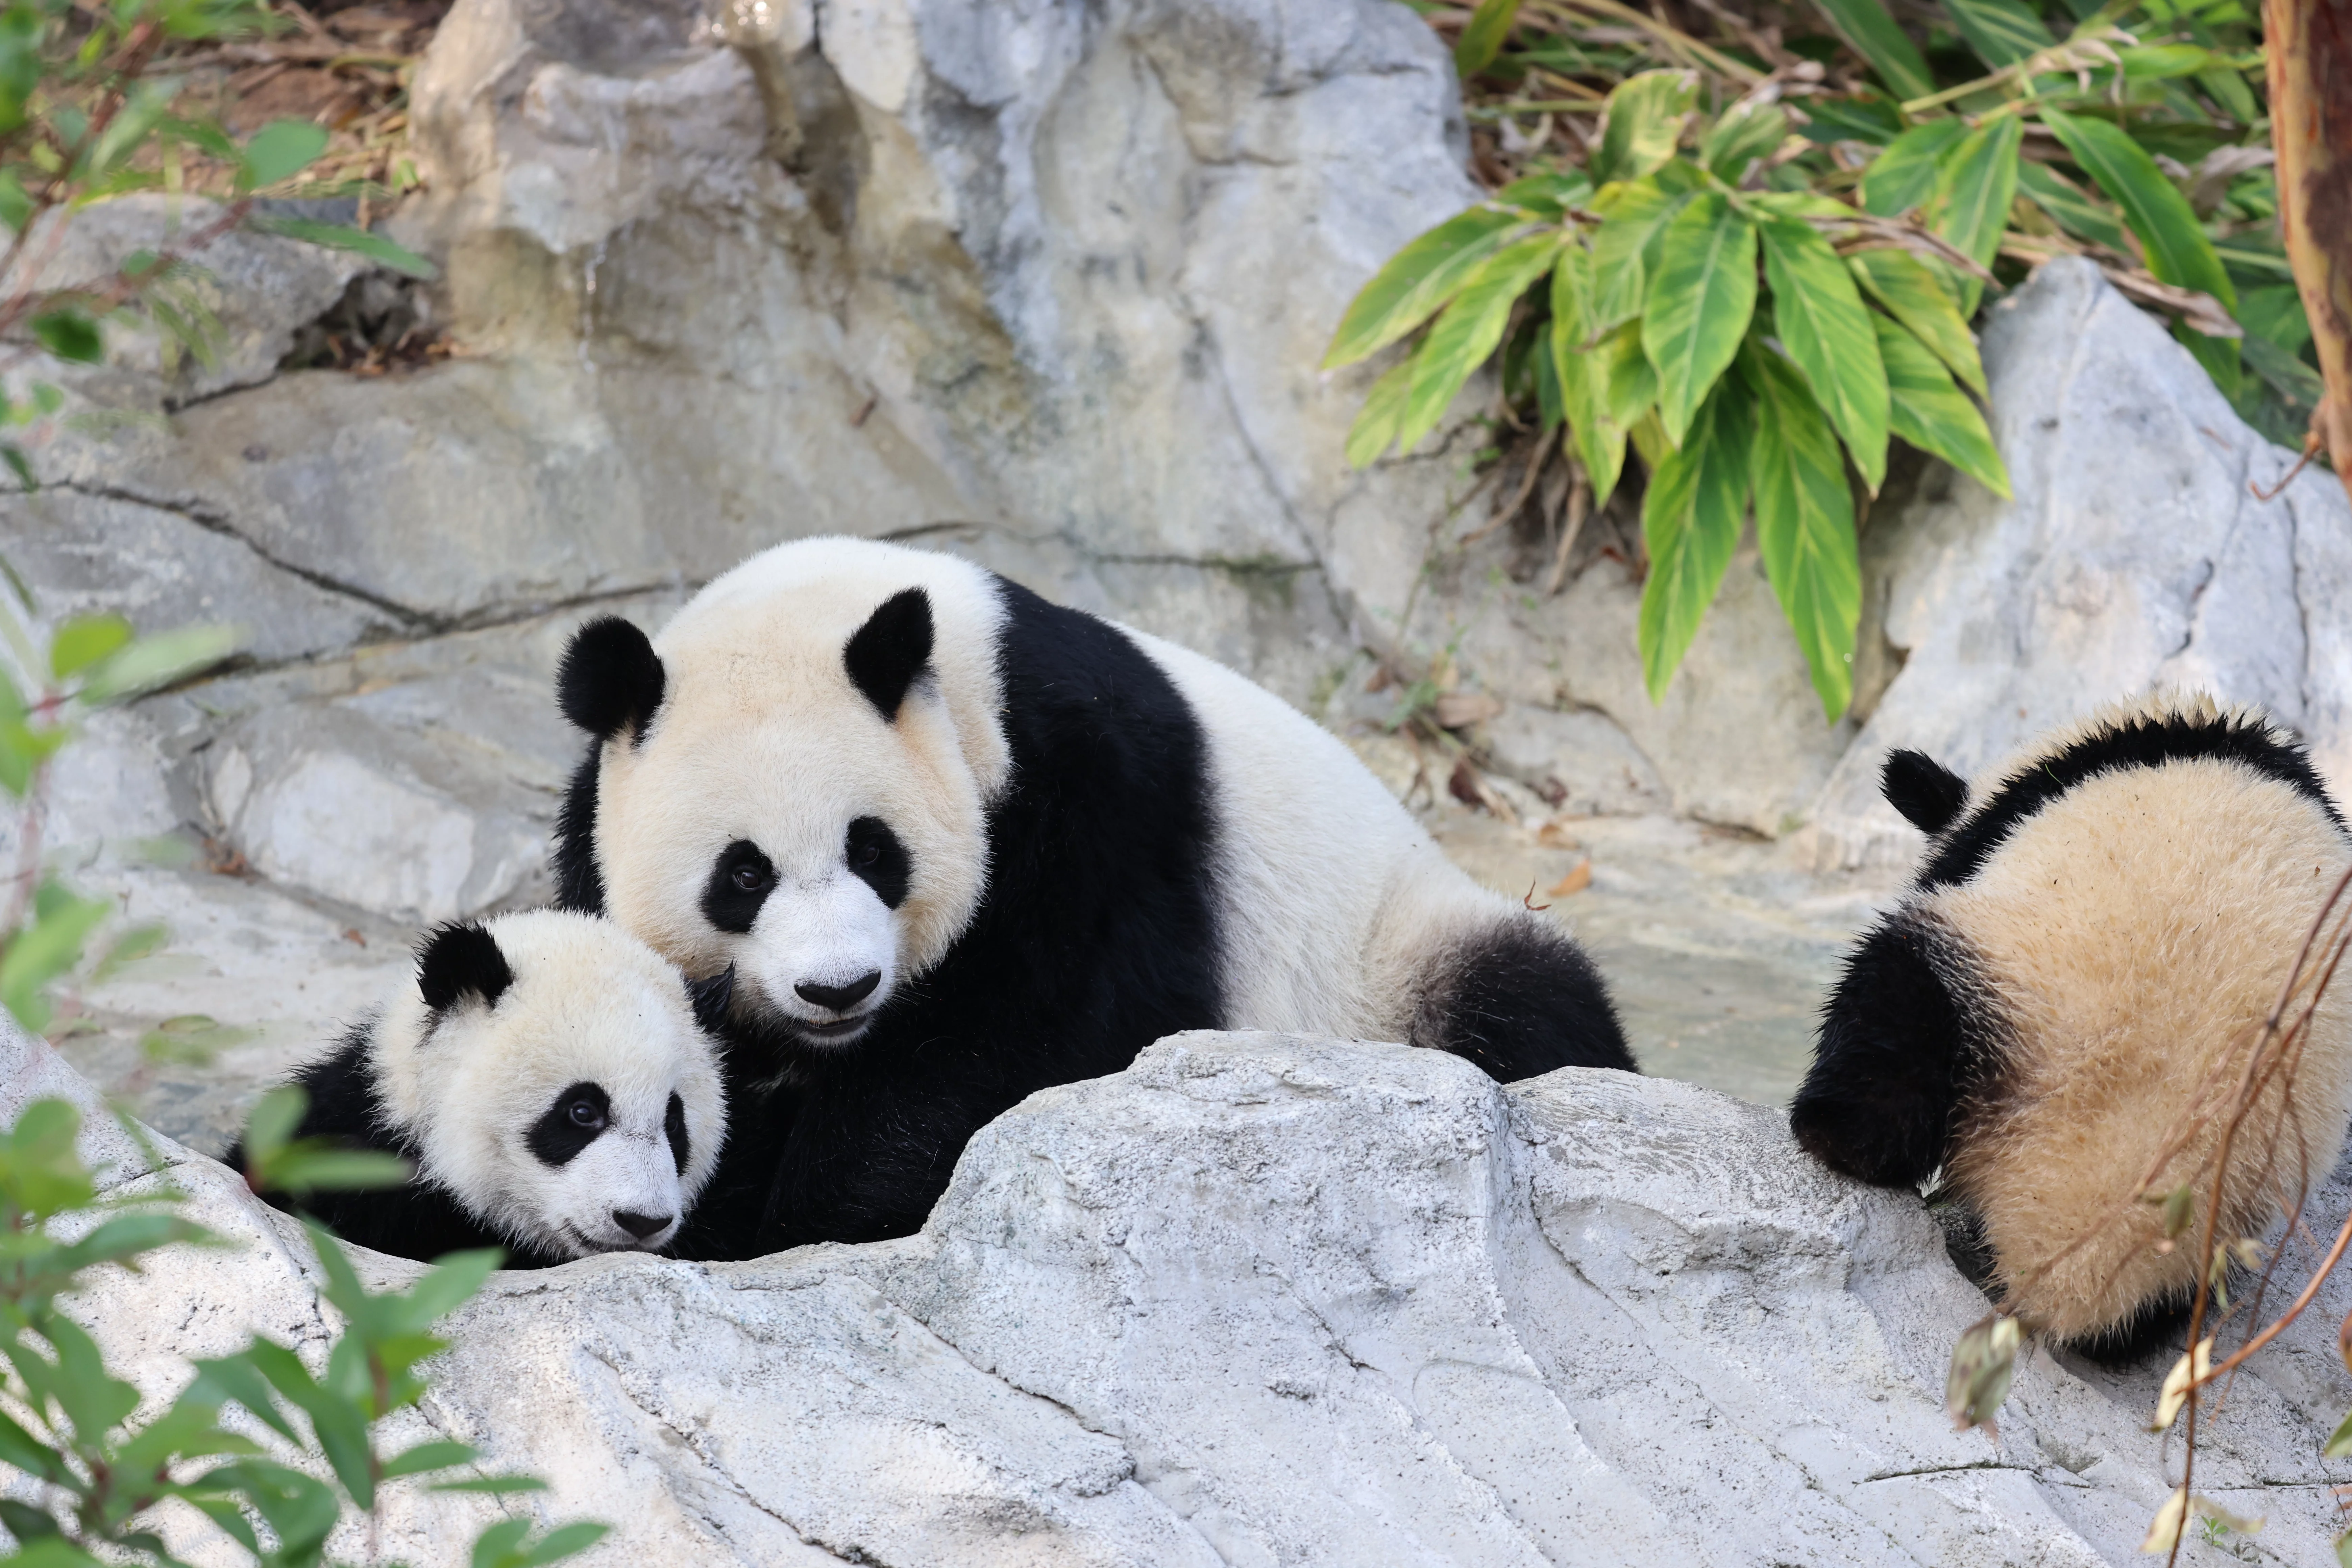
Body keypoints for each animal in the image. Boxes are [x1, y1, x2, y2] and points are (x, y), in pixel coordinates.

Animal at [550, 535, 1632, 1256]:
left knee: (1525, 1005)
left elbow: (1028, 1035)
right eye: (744, 875)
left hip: (1395, 952)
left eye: (873, 850)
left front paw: (806, 1211)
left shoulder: (1096, 809)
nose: (837, 989)